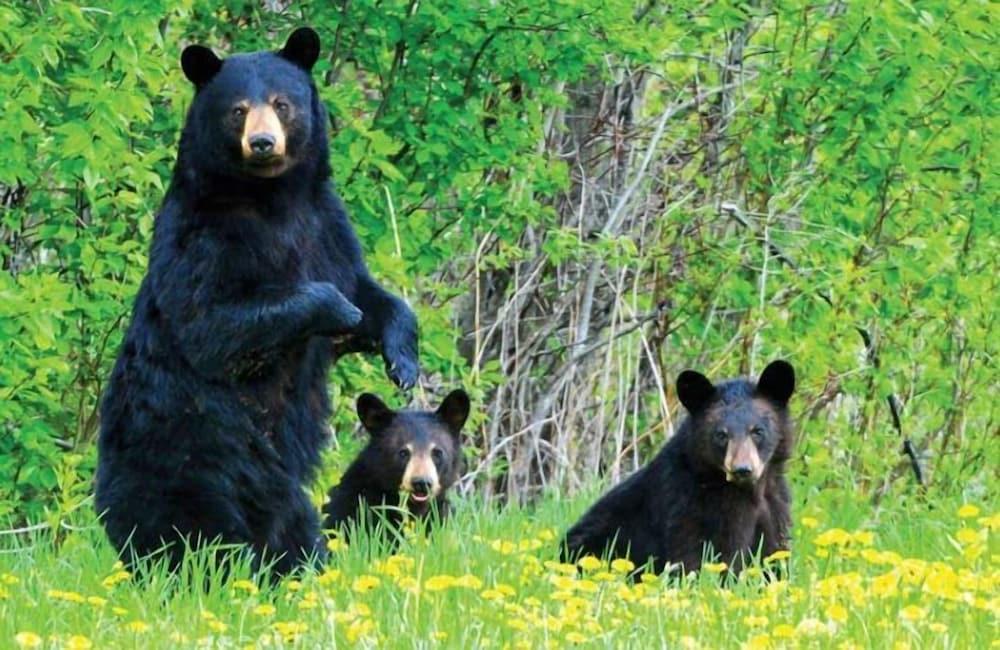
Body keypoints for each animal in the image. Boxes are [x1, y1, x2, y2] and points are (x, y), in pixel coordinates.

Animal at [94, 27, 419, 576]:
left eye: (282, 103)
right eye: (238, 109)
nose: (263, 143)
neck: (274, 198)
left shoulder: (327, 226)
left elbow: (367, 290)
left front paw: (402, 360)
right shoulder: (204, 239)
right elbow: (214, 323)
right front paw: (339, 309)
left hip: (282, 492)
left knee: (296, 527)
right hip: (189, 459)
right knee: (189, 534)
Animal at [561, 360, 795, 577]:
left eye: (758, 431)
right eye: (721, 434)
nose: (742, 469)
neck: (749, 490)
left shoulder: (775, 504)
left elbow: (774, 552)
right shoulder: (692, 505)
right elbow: (706, 555)